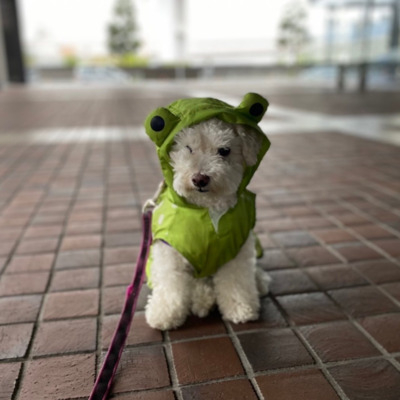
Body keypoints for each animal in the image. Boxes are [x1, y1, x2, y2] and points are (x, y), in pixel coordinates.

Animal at [145, 117, 272, 330]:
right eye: (188, 148)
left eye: (224, 150)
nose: (200, 179)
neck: (209, 211)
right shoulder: (171, 250)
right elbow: (170, 283)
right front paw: (164, 314)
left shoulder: (236, 250)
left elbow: (236, 283)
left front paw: (240, 308)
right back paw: (203, 298)